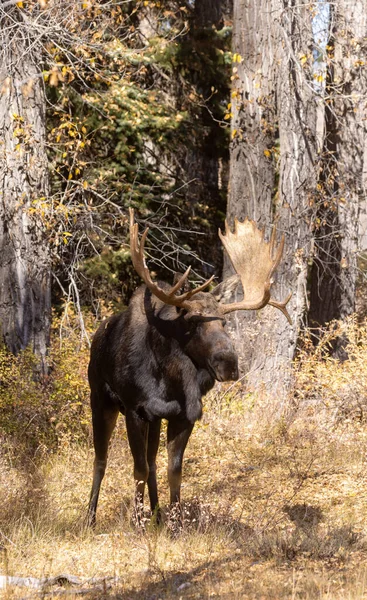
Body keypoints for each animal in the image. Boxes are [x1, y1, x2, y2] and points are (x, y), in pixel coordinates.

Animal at [87, 209, 292, 528]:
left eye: (224, 321)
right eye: (193, 322)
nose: (229, 363)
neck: (170, 379)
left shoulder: (183, 415)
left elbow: (173, 470)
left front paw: (174, 523)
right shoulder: (134, 410)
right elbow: (138, 469)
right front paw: (137, 522)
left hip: (154, 419)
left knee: (152, 461)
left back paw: (157, 515)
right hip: (100, 400)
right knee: (101, 459)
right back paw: (91, 517)